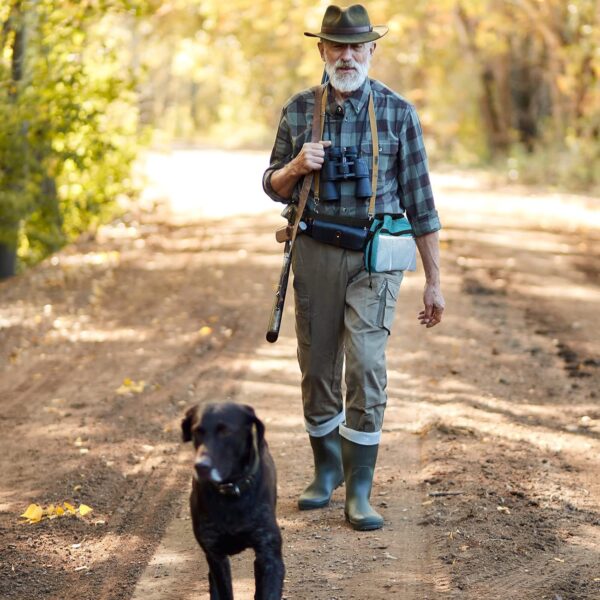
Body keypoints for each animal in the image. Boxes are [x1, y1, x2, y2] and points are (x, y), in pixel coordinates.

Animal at [182, 404, 284, 600]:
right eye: (197, 431)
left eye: (225, 431)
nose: (201, 466)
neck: (232, 491)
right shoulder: (215, 555)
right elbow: (223, 590)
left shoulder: (269, 554)